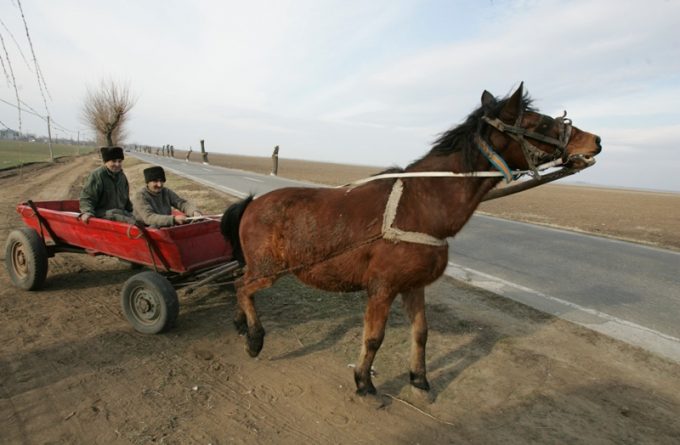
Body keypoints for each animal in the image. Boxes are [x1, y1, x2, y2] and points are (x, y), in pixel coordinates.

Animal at [222, 81, 600, 394]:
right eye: (541, 124)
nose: (595, 140)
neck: (420, 204)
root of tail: (254, 202)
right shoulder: (383, 288)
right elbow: (374, 338)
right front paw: (363, 380)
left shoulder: (414, 286)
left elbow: (421, 333)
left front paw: (419, 377)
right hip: (269, 271)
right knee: (243, 287)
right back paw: (254, 338)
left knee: (239, 283)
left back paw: (241, 324)